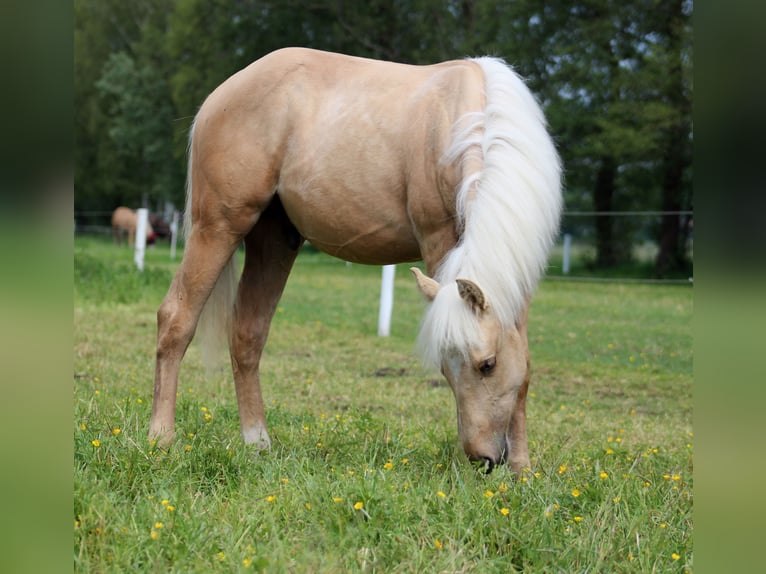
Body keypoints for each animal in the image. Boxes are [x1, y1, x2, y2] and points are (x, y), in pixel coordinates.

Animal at [150, 48, 564, 476]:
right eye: (451, 365)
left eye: (487, 364)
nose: (483, 459)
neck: (474, 119)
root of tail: (220, 96)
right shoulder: (439, 241)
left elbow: (524, 364)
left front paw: (523, 469)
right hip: (218, 228)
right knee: (176, 319)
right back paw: (161, 438)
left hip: (274, 240)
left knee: (248, 333)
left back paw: (257, 442)